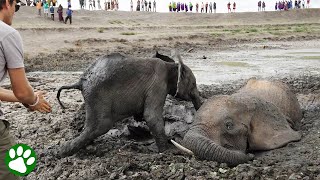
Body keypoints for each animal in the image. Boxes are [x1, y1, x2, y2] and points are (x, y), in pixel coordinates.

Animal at [57, 51, 201, 156]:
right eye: (193, 84)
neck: (170, 65)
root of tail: (80, 82)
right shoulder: (158, 85)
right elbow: (151, 116)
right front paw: (168, 152)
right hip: (97, 96)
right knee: (100, 126)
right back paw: (59, 152)